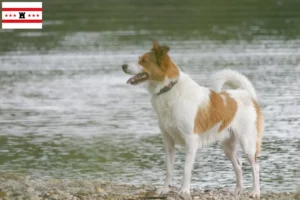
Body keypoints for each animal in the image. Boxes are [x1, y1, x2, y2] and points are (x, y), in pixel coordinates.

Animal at [120, 39, 264, 199]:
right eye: (139, 58)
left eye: (144, 61)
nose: (123, 66)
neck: (169, 88)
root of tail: (246, 94)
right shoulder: (168, 142)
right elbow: (169, 169)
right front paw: (165, 190)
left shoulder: (191, 141)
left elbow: (186, 170)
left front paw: (184, 191)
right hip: (228, 146)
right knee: (238, 166)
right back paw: (238, 190)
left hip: (248, 144)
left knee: (255, 167)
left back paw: (255, 192)